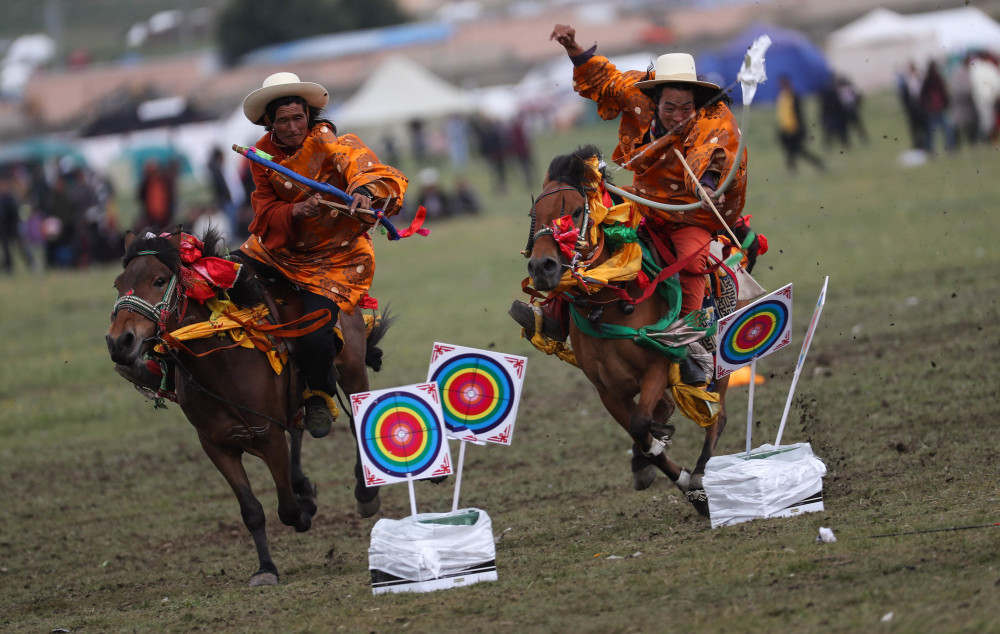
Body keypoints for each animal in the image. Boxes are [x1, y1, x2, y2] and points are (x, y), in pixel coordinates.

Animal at [107, 227, 388, 584]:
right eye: (118, 284)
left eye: (159, 281)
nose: (119, 342)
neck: (220, 365)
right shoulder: (217, 446)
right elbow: (252, 510)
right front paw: (266, 568)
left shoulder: (268, 436)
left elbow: (287, 508)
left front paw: (305, 509)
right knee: (299, 426)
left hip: (351, 368)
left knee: (354, 420)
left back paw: (365, 495)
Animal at [520, 146, 740, 516]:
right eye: (535, 215)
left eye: (576, 211)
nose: (542, 267)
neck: (608, 301)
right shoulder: (607, 389)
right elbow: (640, 431)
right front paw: (655, 460)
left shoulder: (656, 369)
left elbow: (641, 425)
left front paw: (687, 481)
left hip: (722, 360)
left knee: (719, 418)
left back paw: (698, 475)